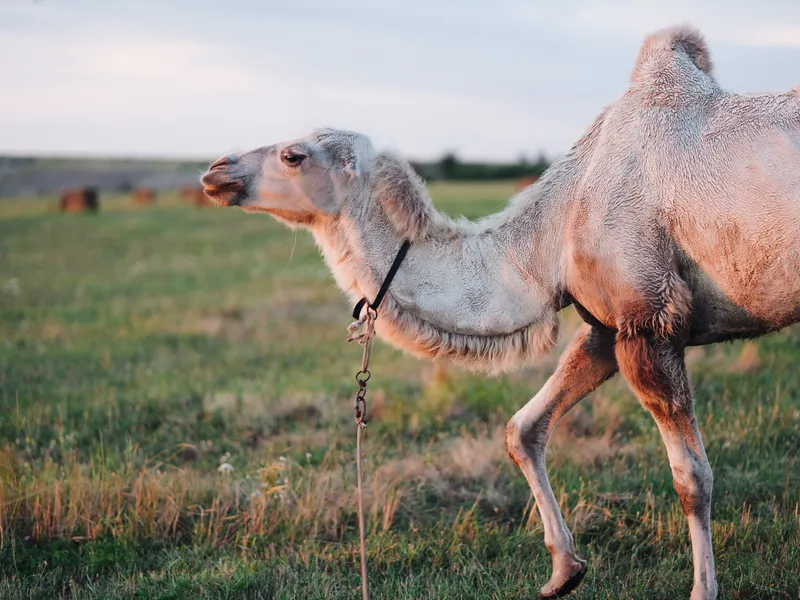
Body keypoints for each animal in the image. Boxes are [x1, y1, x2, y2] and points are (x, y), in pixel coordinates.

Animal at [200, 25, 800, 600]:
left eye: (293, 155)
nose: (215, 170)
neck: (550, 235)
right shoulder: (607, 327)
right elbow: (522, 429)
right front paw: (564, 569)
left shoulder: (649, 321)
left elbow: (691, 479)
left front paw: (702, 589)